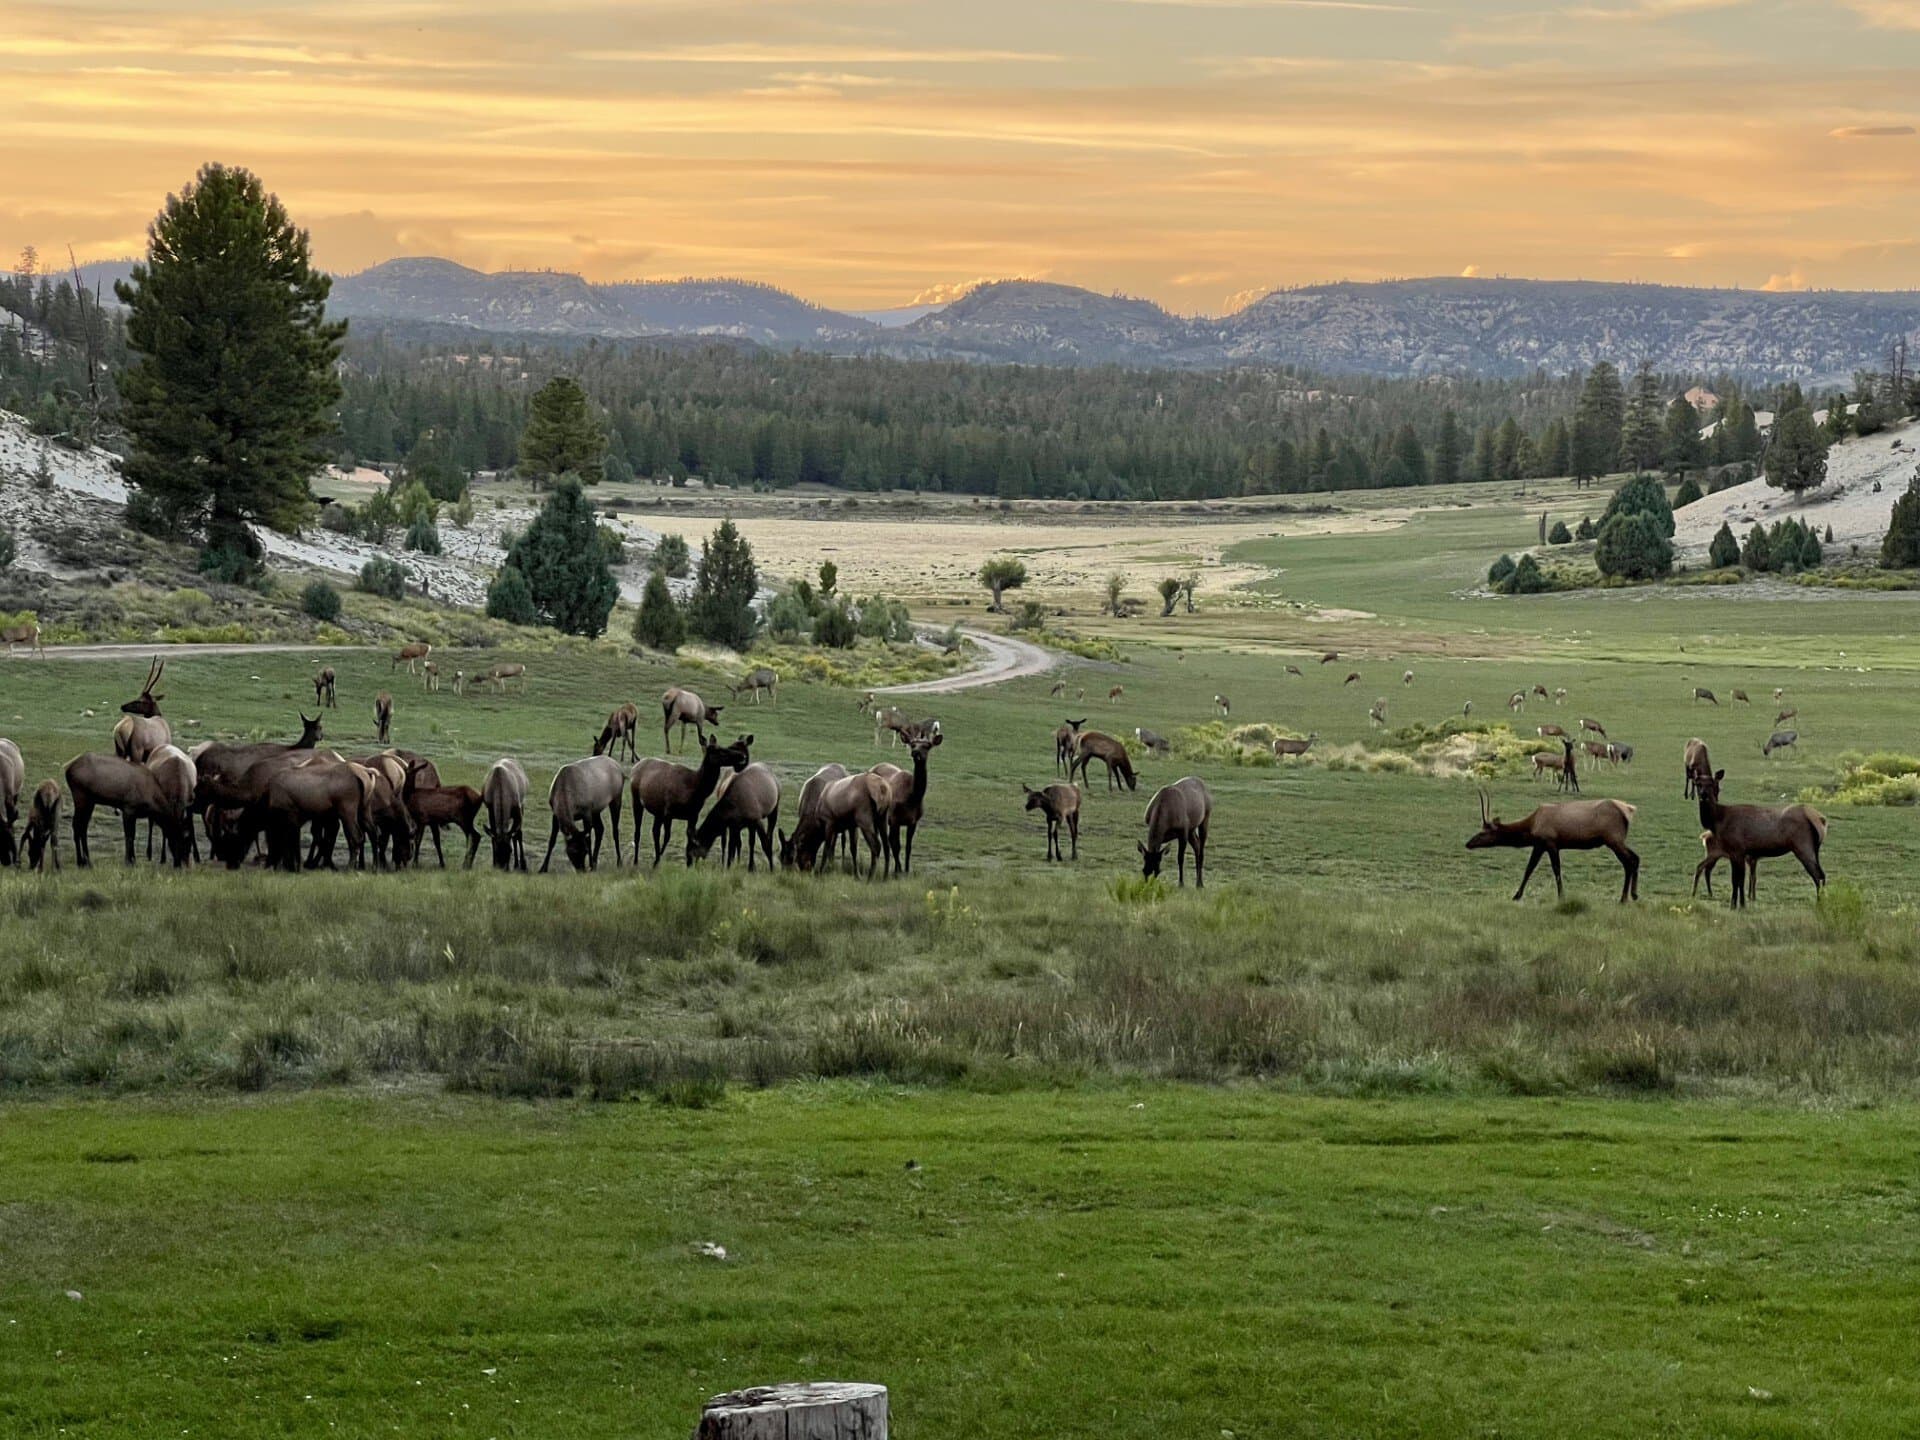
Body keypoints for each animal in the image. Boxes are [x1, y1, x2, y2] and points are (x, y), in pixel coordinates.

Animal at [630, 733, 752, 866]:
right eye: (719, 750)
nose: (742, 756)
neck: (695, 790)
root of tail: (635, 766)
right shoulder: (668, 811)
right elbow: (666, 836)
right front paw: (657, 861)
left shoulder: (693, 815)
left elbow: (689, 838)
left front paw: (689, 863)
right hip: (636, 799)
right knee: (639, 831)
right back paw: (636, 861)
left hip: (657, 811)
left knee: (654, 830)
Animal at [1466, 789, 1639, 902]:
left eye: (1482, 833)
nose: (1468, 843)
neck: (1532, 826)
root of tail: (1629, 810)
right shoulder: (1539, 845)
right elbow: (1529, 869)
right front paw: (1517, 895)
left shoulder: (1550, 842)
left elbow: (1556, 869)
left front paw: (1561, 897)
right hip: (1617, 840)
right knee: (1636, 858)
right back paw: (1633, 895)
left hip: (1613, 839)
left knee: (1628, 862)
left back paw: (1624, 898)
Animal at [1695, 769, 1827, 908]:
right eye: (1698, 783)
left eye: (1711, 784)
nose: (1703, 795)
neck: (1718, 821)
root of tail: (1821, 819)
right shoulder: (1735, 853)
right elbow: (1737, 879)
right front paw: (1738, 904)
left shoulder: (1737, 849)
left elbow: (1738, 879)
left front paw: (1738, 905)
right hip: (1814, 849)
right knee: (1821, 874)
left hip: (1802, 846)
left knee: (1818, 875)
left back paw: (1820, 904)